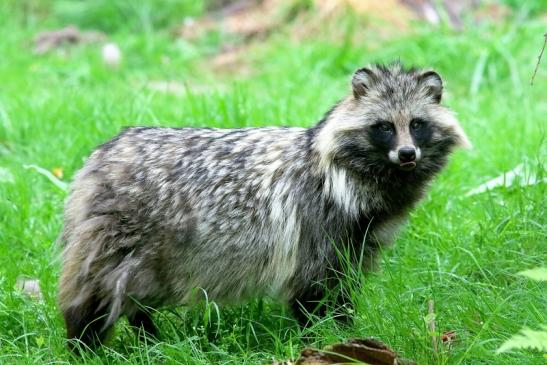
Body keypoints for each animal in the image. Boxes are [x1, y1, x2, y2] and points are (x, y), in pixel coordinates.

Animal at [60, 61, 470, 346]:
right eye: (383, 126)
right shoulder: (312, 231)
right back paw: (87, 342)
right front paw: (321, 340)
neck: (341, 175)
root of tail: (99, 156)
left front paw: (345, 330)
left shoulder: (355, 243)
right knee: (97, 293)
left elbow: (342, 292)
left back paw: (146, 335)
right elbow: (311, 295)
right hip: (126, 241)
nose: (407, 154)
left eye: (416, 124)